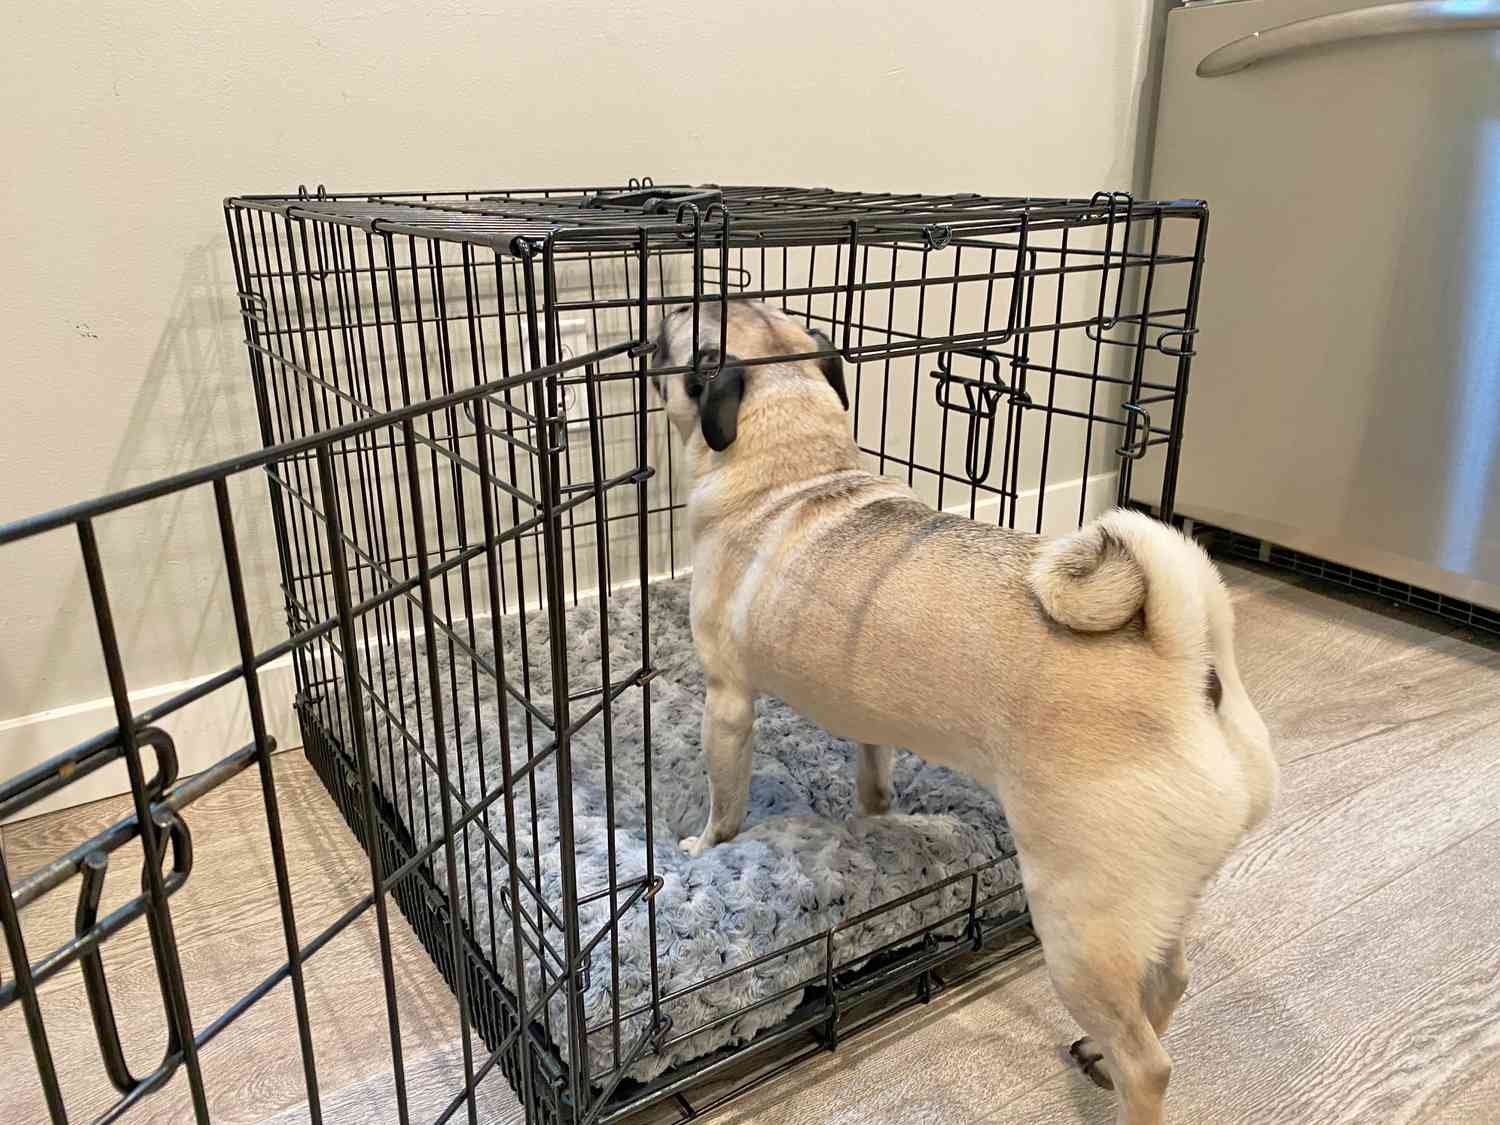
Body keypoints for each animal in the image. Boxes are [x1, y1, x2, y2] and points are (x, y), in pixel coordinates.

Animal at [648, 300, 1278, 1125]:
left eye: (674, 338)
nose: (651, 327)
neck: (798, 458)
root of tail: (1182, 659)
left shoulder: (727, 701)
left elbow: (725, 802)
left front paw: (700, 846)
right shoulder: (870, 725)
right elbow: (875, 782)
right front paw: (876, 819)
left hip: (1077, 920)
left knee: (1149, 1062)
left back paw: (1124, 1076)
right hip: (1159, 895)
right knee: (1169, 978)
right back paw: (1096, 1052)